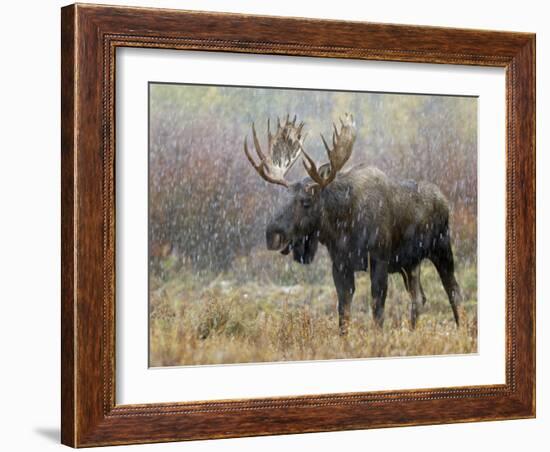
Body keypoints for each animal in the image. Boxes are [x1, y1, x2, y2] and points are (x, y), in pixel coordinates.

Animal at [244, 113, 464, 332]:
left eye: (306, 202)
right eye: (284, 197)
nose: (272, 235)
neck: (343, 226)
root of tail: (445, 201)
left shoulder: (379, 258)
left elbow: (377, 309)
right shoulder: (340, 264)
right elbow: (343, 312)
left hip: (442, 248)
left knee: (454, 291)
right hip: (410, 263)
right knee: (418, 298)